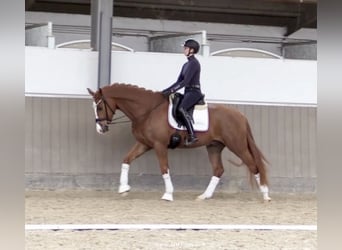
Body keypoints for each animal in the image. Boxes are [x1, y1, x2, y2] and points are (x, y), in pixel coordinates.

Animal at [87, 82, 272, 201]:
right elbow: (126, 160)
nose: (100, 129)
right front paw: (123, 189)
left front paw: (168, 194)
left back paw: (265, 195)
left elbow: (164, 168)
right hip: (214, 147)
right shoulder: (145, 144)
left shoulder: (159, 145)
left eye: (100, 107)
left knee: (254, 166)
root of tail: (240, 115)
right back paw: (204, 196)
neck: (148, 110)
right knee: (218, 170)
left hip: (237, 146)